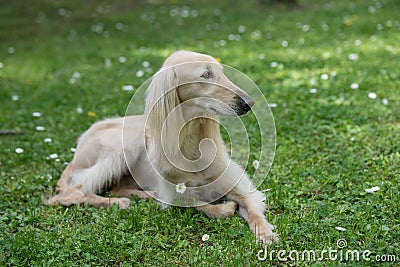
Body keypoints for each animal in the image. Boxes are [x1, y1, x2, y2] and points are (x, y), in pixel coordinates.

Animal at [46, 50, 278, 245]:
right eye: (205, 75)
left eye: (221, 72)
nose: (249, 103)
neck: (191, 144)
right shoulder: (178, 193)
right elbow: (201, 204)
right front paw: (225, 207)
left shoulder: (238, 186)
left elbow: (252, 208)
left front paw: (265, 232)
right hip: (126, 142)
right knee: (73, 193)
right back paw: (118, 203)